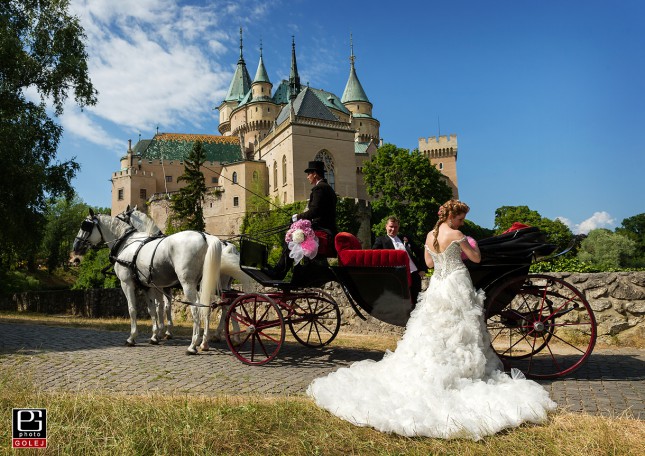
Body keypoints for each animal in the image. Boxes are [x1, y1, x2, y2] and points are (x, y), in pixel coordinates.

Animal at [73, 212, 221, 354]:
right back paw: (204, 343)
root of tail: (205, 236)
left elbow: (133, 309)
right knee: (206, 307)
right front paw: (155, 336)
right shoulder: (147, 286)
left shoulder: (127, 283)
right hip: (203, 285)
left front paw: (132, 337)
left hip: (187, 284)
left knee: (196, 309)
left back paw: (193, 345)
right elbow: (153, 309)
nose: (75, 247)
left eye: (85, 226)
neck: (127, 242)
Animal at [115, 207, 252, 350]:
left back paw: (200, 342)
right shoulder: (160, 287)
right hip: (217, 286)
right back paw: (223, 338)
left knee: (211, 307)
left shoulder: (155, 286)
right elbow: (163, 307)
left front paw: (158, 333)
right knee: (226, 305)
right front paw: (162, 332)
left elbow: (158, 307)